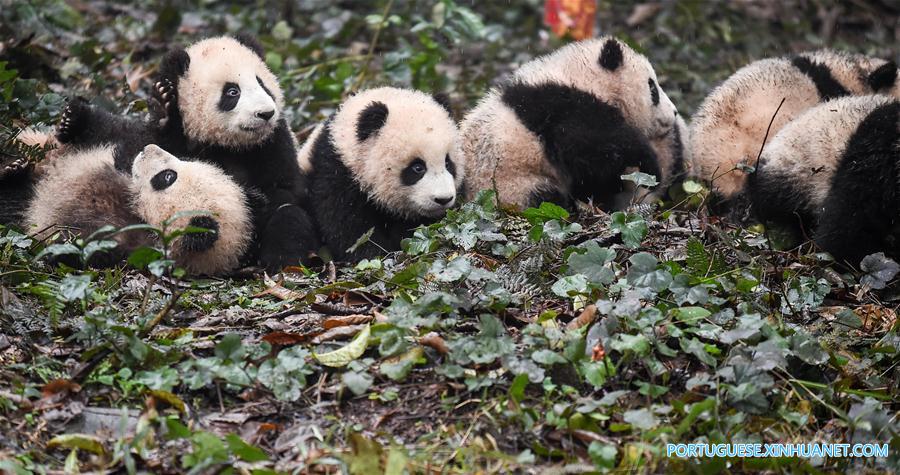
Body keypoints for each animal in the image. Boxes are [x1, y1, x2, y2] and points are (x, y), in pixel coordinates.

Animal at [53, 34, 317, 271]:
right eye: (232, 92)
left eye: (263, 84)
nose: (266, 113)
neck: (228, 144)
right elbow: (136, 141)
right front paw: (162, 106)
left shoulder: (273, 143)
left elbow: (285, 190)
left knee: (289, 216)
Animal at [301, 87, 463, 261]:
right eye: (418, 168)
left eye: (448, 163)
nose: (443, 199)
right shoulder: (335, 171)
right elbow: (349, 227)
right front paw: (376, 254)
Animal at [460, 37, 679, 210]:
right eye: (653, 88)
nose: (675, 112)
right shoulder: (563, 109)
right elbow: (594, 152)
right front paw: (651, 169)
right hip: (507, 185)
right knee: (543, 199)